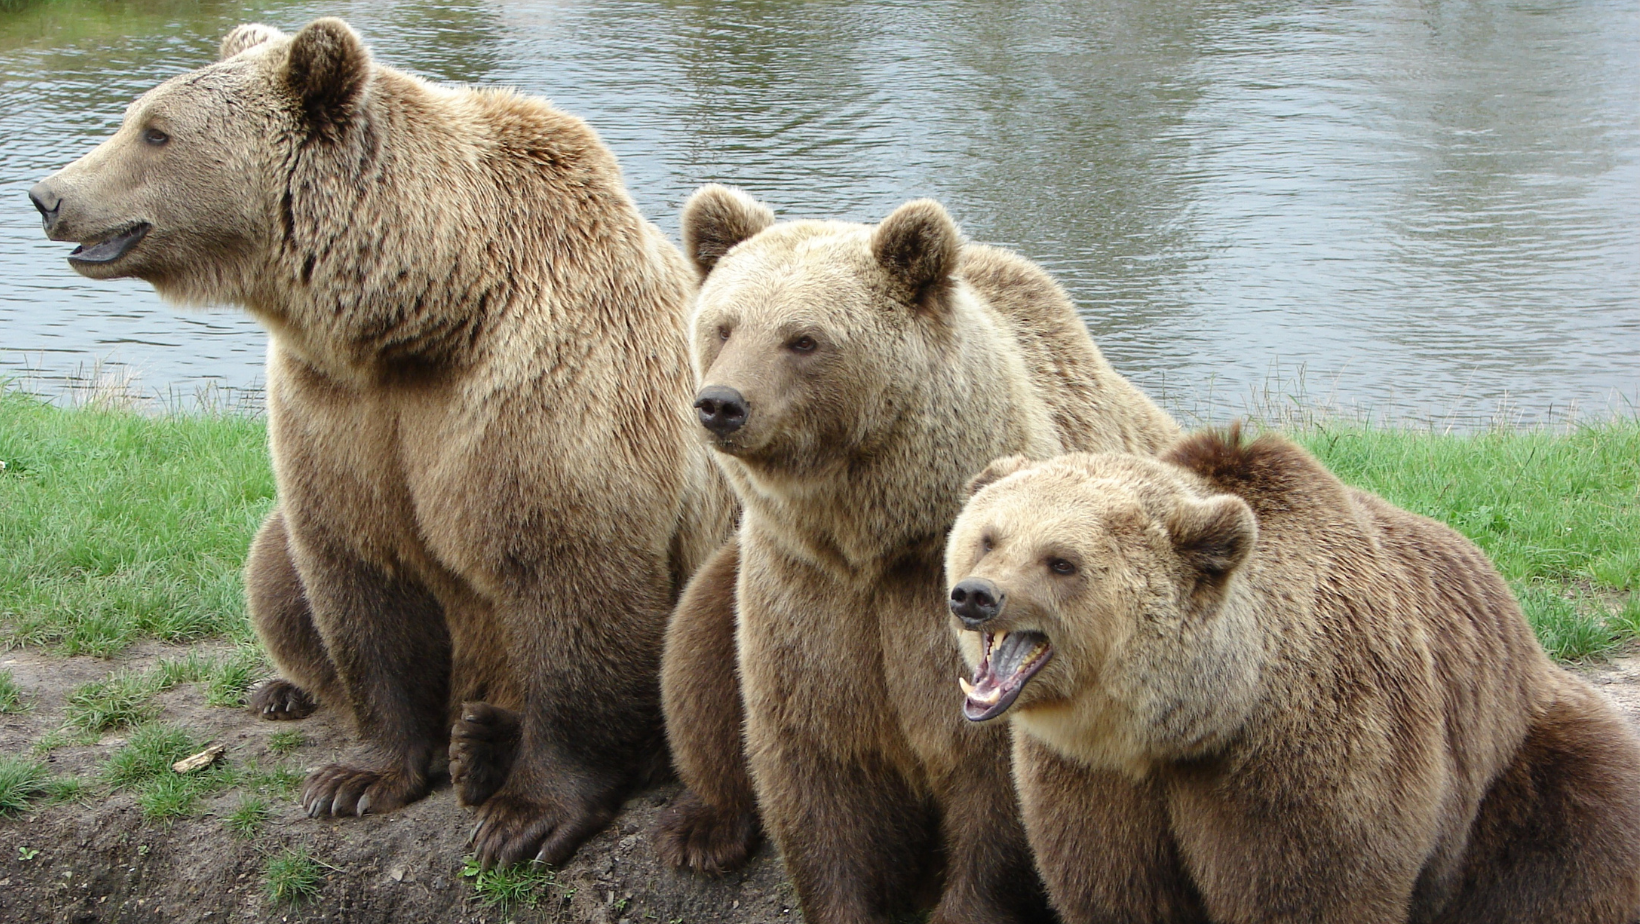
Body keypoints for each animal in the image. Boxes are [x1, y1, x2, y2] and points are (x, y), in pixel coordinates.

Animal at [29, 19, 736, 868]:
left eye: (155, 131)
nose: (48, 195)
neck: (422, 316)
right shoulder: (339, 411)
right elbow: (358, 576)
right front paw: (357, 778)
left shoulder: (545, 394)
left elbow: (570, 578)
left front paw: (526, 816)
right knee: (272, 566)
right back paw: (303, 694)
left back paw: (488, 743)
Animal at [655, 184, 1180, 920]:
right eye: (724, 326)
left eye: (803, 338)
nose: (721, 404)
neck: (876, 538)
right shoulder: (809, 592)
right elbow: (818, 769)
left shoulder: (943, 608)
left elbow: (996, 789)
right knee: (694, 648)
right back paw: (703, 829)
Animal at [943, 431, 1640, 924]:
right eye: (989, 537)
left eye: (1061, 561)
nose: (976, 595)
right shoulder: (1092, 781)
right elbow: (1115, 889)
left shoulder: (1310, 753)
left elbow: (1308, 889)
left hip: (1515, 766)